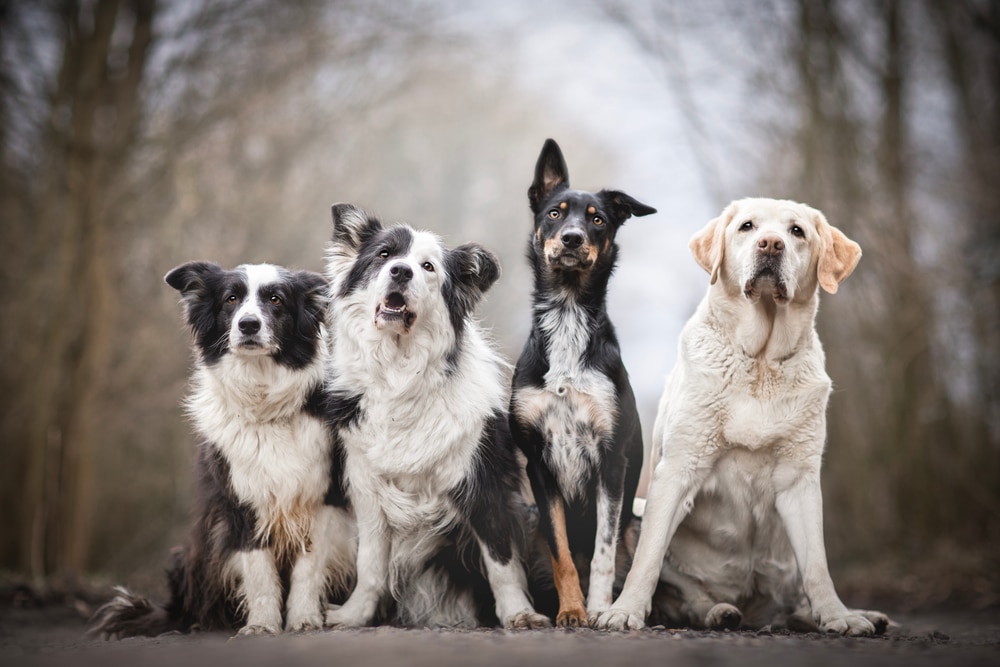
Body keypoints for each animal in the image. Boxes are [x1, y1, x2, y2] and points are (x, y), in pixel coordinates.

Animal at [91, 260, 356, 636]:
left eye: (275, 299)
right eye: (231, 299)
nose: (248, 324)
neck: (264, 403)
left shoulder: (323, 498)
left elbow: (309, 567)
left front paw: (304, 619)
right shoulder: (239, 502)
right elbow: (259, 572)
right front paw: (261, 625)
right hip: (192, 550)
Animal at [322, 205, 552, 632]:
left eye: (427, 266)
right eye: (383, 255)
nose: (401, 271)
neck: (401, 371)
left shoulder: (484, 483)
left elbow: (501, 561)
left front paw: (519, 613)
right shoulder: (367, 489)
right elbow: (371, 564)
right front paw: (353, 615)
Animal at [508, 138, 656, 628]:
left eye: (597, 219)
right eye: (556, 212)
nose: (572, 238)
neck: (568, 313)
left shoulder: (612, 460)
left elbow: (602, 553)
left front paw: (599, 609)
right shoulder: (539, 463)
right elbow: (564, 556)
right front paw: (573, 610)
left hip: (639, 525)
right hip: (528, 522)